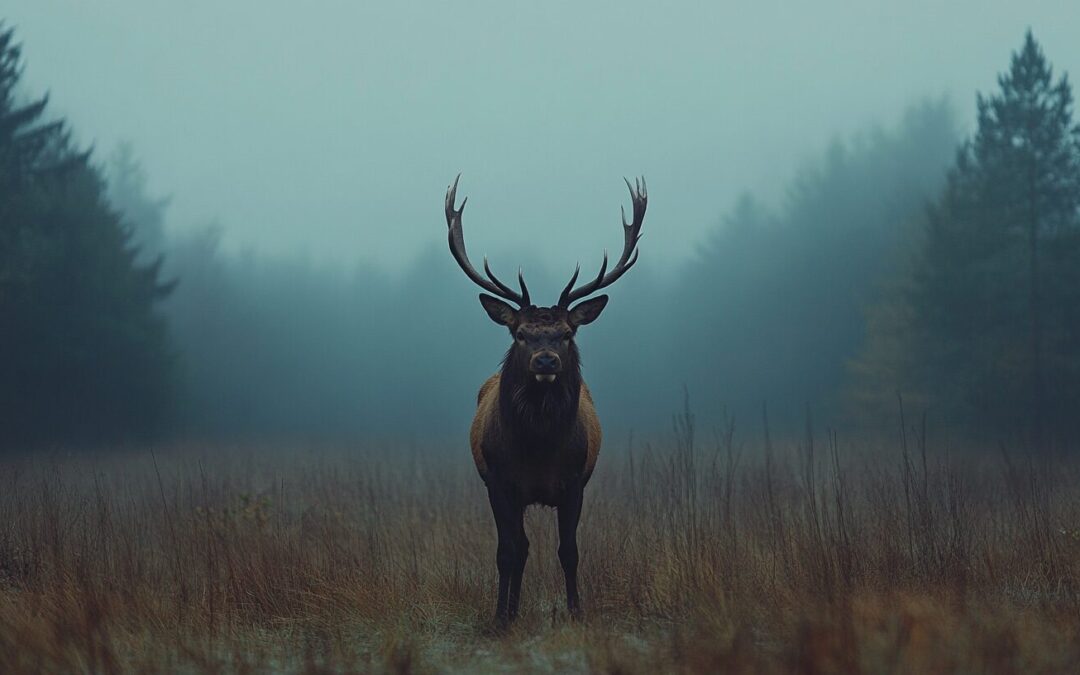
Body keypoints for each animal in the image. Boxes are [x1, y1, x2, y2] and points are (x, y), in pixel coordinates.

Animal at [442, 173, 643, 626]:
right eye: (520, 333)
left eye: (567, 334)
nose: (546, 359)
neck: (538, 448)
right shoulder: (499, 482)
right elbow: (507, 553)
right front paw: (500, 618)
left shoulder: (574, 484)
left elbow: (569, 552)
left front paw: (576, 611)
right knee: (520, 548)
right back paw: (512, 611)